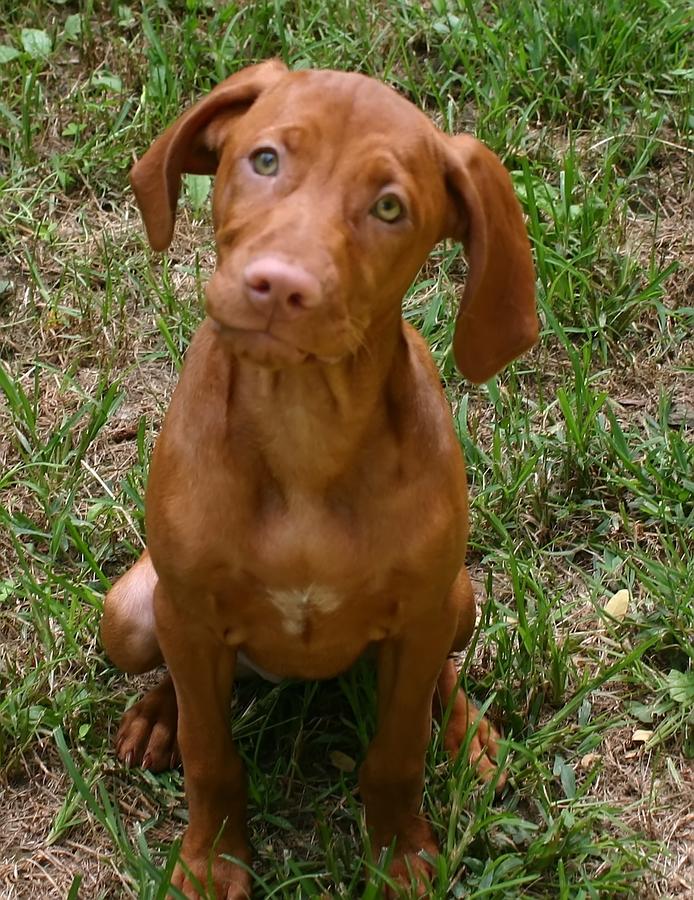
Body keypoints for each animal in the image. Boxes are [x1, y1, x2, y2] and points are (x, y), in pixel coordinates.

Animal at [102, 59, 540, 896]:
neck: (303, 424)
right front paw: (210, 862)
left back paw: (466, 733)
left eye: (390, 207)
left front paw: (399, 854)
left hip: (457, 599)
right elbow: (212, 755)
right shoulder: (188, 612)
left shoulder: (419, 615)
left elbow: (396, 755)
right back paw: (157, 715)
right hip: (131, 612)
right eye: (265, 159)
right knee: (178, 674)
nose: (280, 287)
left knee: (441, 674)